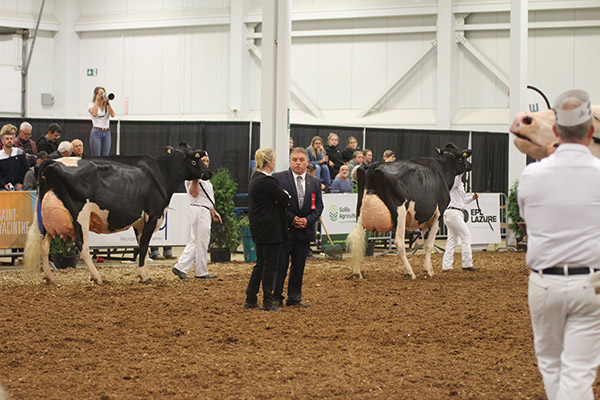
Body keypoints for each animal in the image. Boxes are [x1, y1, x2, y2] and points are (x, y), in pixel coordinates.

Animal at [23, 143, 211, 284]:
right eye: (195, 161)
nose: (208, 173)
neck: (162, 175)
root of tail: (51, 163)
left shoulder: (139, 222)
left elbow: (140, 246)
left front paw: (141, 274)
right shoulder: (153, 216)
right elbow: (144, 247)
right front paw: (145, 277)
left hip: (45, 218)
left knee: (44, 245)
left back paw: (50, 278)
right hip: (81, 215)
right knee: (82, 246)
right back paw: (97, 278)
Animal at [346, 143, 474, 278]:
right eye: (462, 157)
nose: (470, 165)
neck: (442, 171)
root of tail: (374, 165)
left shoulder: (424, 219)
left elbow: (425, 242)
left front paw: (426, 268)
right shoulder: (437, 216)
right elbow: (429, 245)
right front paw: (429, 271)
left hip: (360, 211)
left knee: (357, 239)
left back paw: (357, 272)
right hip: (400, 212)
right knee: (399, 243)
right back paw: (410, 272)